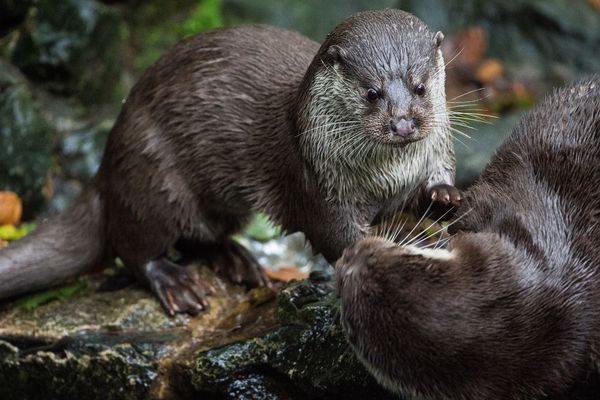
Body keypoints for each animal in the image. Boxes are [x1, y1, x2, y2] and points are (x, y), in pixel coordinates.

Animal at [1, 8, 460, 316]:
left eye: (419, 87)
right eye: (372, 92)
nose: (403, 124)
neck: (386, 177)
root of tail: (105, 166)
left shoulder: (433, 153)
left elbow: (432, 188)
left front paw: (444, 196)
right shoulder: (314, 182)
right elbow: (339, 238)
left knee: (200, 235)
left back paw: (236, 260)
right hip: (151, 176)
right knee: (132, 244)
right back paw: (176, 283)